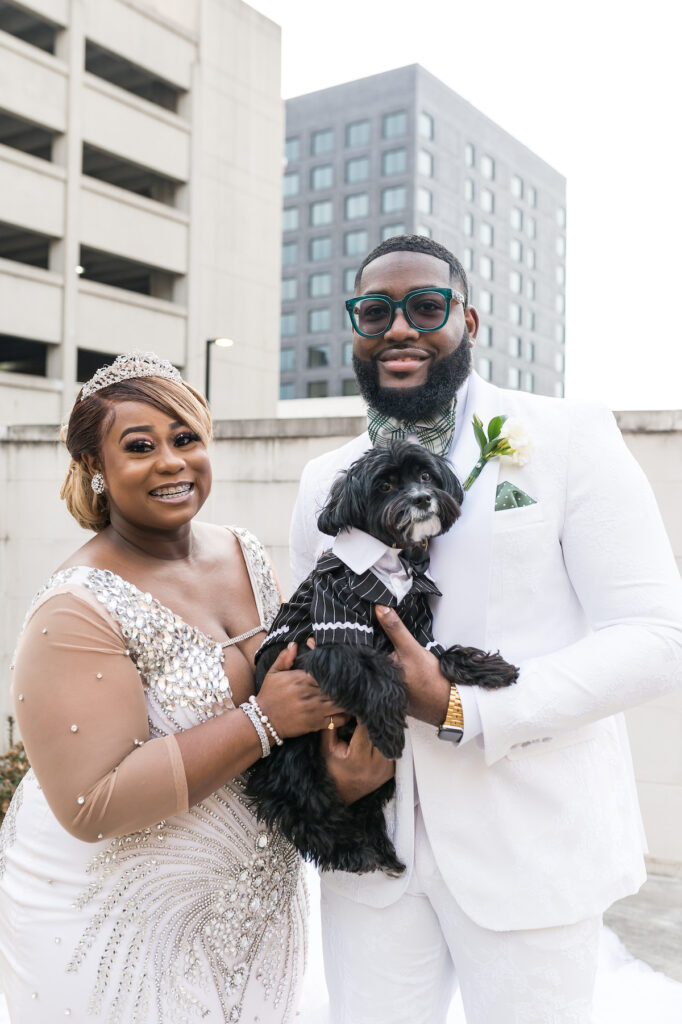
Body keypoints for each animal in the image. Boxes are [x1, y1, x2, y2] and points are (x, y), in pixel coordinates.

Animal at [244, 436, 516, 876]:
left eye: (425, 475)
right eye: (385, 486)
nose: (422, 498)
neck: (392, 562)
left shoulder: (419, 627)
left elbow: (442, 654)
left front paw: (486, 667)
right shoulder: (332, 635)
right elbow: (375, 672)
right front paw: (389, 726)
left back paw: (379, 849)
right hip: (296, 751)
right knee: (296, 799)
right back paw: (349, 850)